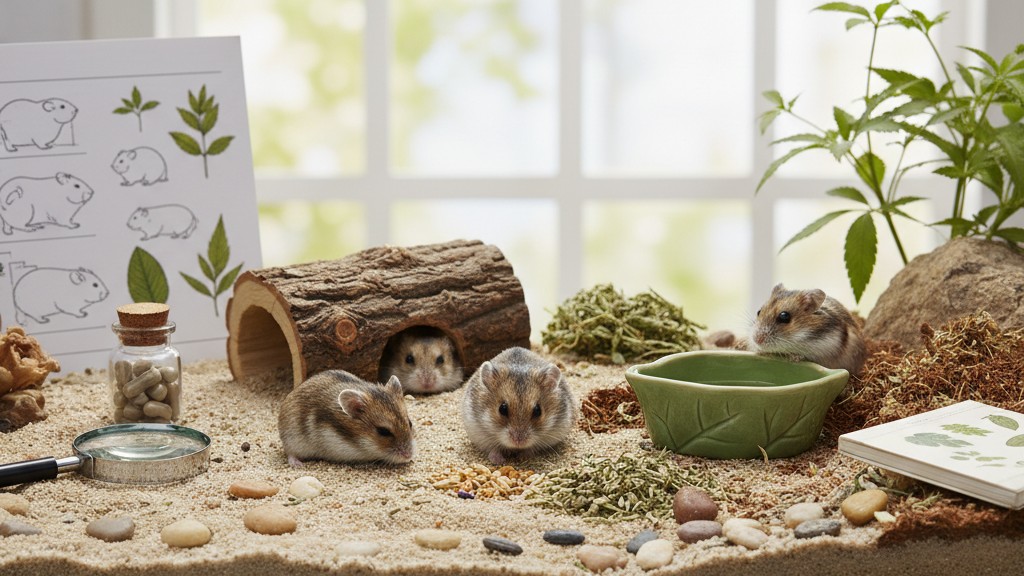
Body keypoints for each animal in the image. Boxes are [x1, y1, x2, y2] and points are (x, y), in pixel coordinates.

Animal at [278, 369, 415, 468]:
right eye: (383, 431)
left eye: (410, 423)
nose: (408, 456)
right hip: (293, 440)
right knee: (289, 452)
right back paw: (298, 465)